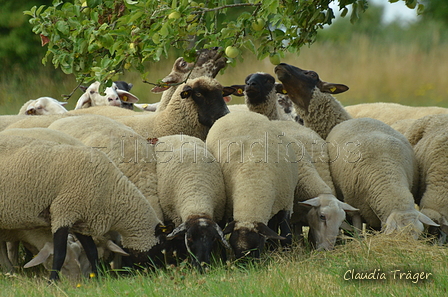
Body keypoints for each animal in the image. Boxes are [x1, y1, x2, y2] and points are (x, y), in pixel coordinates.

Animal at [0, 135, 167, 280]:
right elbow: (60, 253)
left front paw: (98, 278)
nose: (159, 271)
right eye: (159, 247)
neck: (111, 193)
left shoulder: (82, 219)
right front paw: (52, 281)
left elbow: (92, 251)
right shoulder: (63, 212)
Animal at [206, 111, 300, 256]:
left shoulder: (286, 202)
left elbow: (285, 232)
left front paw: (287, 252)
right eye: (233, 247)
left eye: (257, 247)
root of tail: (238, 112)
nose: (245, 263)